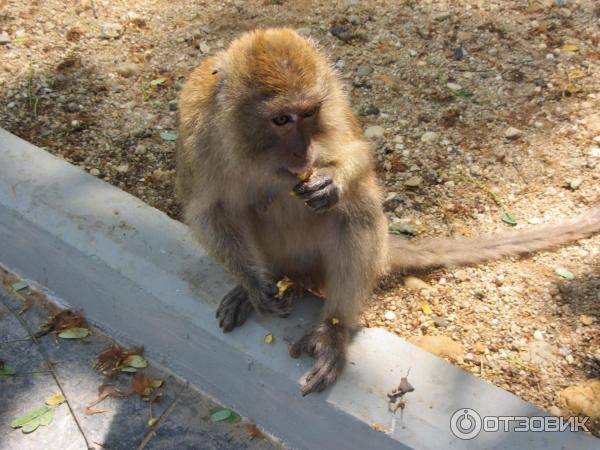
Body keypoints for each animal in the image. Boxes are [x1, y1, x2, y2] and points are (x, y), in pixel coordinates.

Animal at [176, 28, 600, 396]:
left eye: (309, 113)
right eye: (281, 119)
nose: (302, 151)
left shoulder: (332, 102)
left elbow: (357, 153)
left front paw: (332, 181)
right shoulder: (199, 130)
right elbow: (207, 210)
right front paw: (253, 285)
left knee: (357, 209)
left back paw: (332, 332)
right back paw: (259, 287)